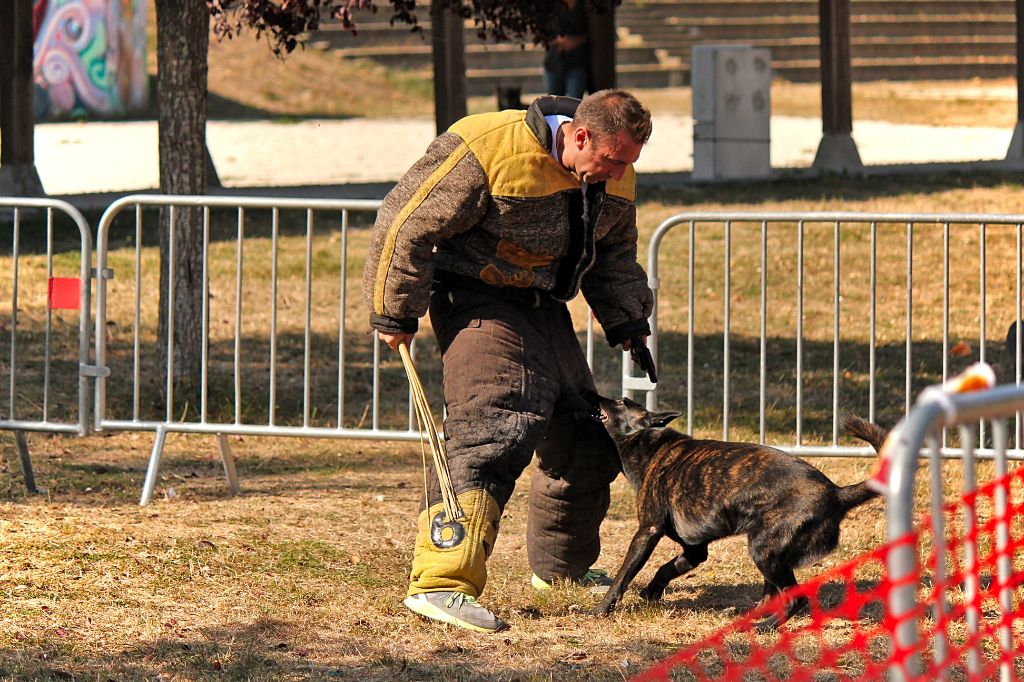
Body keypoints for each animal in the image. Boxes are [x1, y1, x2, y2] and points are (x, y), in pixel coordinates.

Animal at [585, 393, 888, 626]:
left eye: (621, 401)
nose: (592, 394)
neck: (650, 444)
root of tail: (837, 492)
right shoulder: (695, 550)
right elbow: (666, 568)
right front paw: (651, 592)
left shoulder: (647, 532)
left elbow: (623, 576)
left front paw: (602, 610)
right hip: (771, 554)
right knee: (771, 595)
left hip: (764, 551)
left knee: (796, 597)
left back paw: (766, 626)